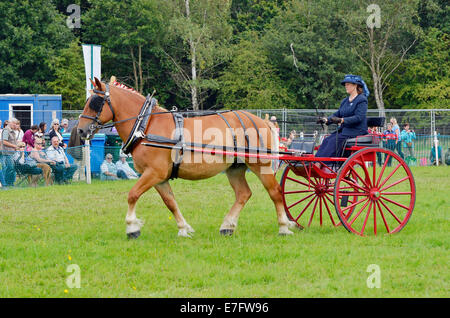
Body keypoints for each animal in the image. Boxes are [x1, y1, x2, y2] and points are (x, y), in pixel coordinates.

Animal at [76, 79, 298, 238]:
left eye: (95, 102)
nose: (80, 130)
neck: (145, 125)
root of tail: (263, 121)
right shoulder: (160, 178)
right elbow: (170, 202)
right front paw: (183, 228)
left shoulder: (153, 173)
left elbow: (132, 195)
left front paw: (132, 228)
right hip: (235, 168)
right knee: (243, 194)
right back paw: (227, 226)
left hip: (261, 165)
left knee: (275, 192)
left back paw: (284, 227)